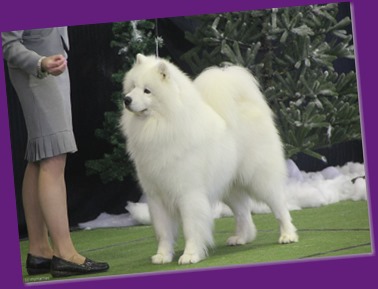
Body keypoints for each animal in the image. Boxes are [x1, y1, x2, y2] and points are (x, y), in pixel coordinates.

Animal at [121, 53, 298, 264]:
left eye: (147, 91)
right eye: (132, 87)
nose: (126, 99)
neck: (161, 125)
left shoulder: (188, 193)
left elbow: (190, 228)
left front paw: (190, 255)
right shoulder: (157, 197)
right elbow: (163, 232)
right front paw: (163, 256)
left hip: (260, 179)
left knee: (279, 206)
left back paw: (288, 235)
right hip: (230, 186)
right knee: (243, 212)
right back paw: (241, 237)